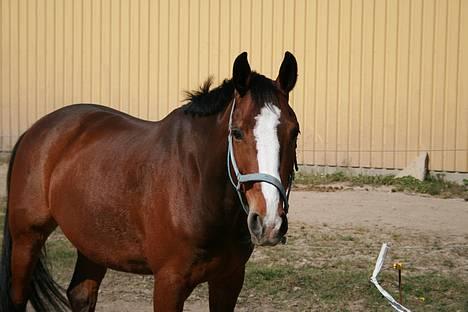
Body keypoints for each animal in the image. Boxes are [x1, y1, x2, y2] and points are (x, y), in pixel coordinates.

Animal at [0, 52, 298, 310]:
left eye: (294, 132)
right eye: (236, 133)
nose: (269, 222)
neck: (198, 186)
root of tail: (35, 130)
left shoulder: (229, 279)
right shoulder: (169, 283)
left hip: (92, 242)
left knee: (81, 295)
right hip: (27, 238)